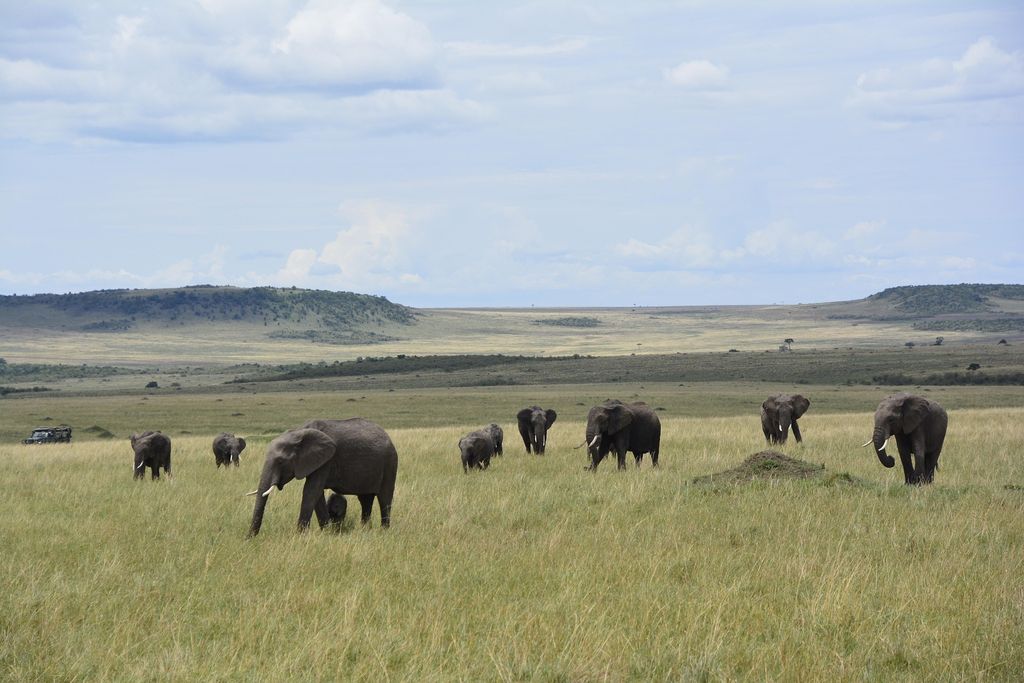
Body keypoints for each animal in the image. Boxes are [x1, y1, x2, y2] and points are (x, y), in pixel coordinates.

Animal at [247, 418, 398, 537]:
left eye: (280, 461)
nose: (249, 538)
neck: (298, 432)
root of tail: (387, 436)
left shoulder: (326, 460)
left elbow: (311, 491)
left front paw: (300, 535)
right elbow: (317, 493)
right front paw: (327, 532)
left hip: (390, 462)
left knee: (384, 498)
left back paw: (384, 531)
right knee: (365, 499)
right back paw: (365, 530)